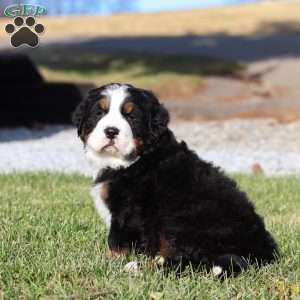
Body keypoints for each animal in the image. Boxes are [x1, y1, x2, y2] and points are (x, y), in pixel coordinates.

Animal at [72, 82, 276, 276]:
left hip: (180, 220)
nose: (111, 131)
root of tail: (263, 250)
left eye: (131, 117)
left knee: (182, 261)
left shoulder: (126, 210)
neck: (135, 159)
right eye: (99, 112)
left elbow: (116, 241)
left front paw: (109, 261)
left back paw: (138, 267)